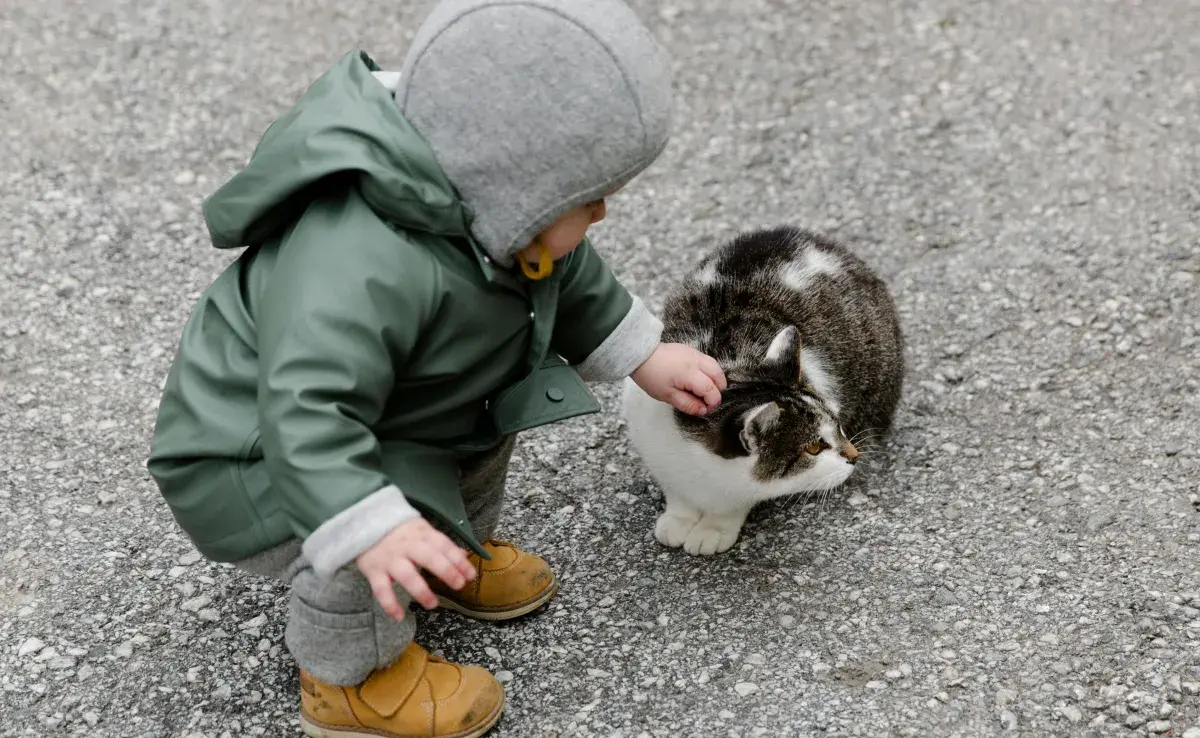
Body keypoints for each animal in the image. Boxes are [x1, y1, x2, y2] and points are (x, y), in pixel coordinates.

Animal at [624, 228, 902, 556]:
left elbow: (735, 502)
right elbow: (677, 492)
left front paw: (714, 528)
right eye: (813, 448)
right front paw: (679, 518)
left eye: (837, 426)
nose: (854, 456)